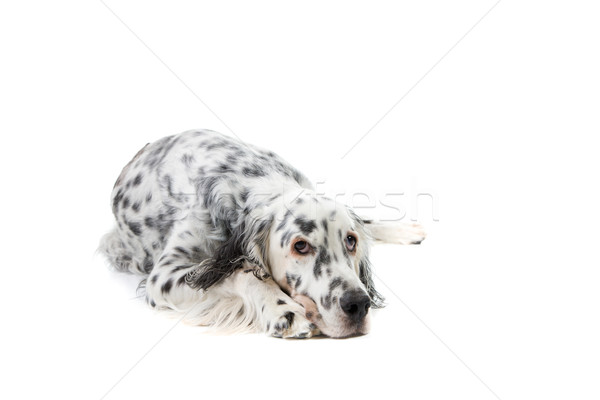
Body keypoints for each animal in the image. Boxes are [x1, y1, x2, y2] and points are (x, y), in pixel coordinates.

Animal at [99, 130, 426, 338]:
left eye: (350, 241)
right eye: (300, 246)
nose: (358, 305)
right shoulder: (164, 276)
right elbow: (243, 272)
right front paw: (285, 311)